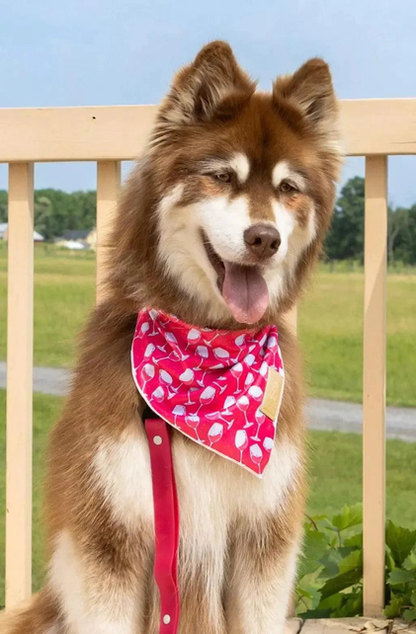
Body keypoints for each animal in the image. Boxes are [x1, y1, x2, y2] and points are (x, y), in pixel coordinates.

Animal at [1, 42, 342, 628]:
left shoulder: (262, 542)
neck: (206, 348)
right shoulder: (110, 536)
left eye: (287, 189)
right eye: (222, 177)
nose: (265, 238)